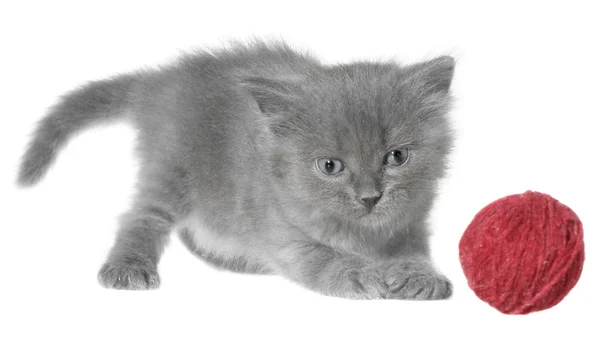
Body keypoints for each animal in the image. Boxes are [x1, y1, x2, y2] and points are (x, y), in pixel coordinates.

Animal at [18, 40, 454, 300]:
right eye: (330, 166)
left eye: (396, 157)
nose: (370, 197)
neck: (363, 233)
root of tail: (160, 82)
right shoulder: (285, 235)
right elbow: (324, 258)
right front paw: (363, 274)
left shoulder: (411, 224)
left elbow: (414, 253)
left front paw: (421, 276)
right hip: (172, 166)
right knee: (143, 215)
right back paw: (128, 268)